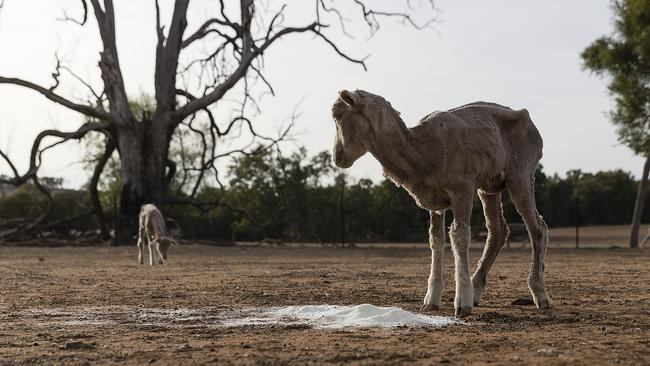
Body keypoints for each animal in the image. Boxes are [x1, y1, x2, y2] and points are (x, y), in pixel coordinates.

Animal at [332, 90, 548, 316]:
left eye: (337, 116)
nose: (337, 157)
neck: (422, 151)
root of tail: (528, 119)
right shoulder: (435, 200)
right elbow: (435, 239)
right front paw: (431, 299)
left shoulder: (463, 190)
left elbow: (460, 236)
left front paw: (462, 303)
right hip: (490, 186)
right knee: (498, 231)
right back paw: (477, 288)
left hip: (521, 174)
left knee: (537, 228)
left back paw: (539, 293)